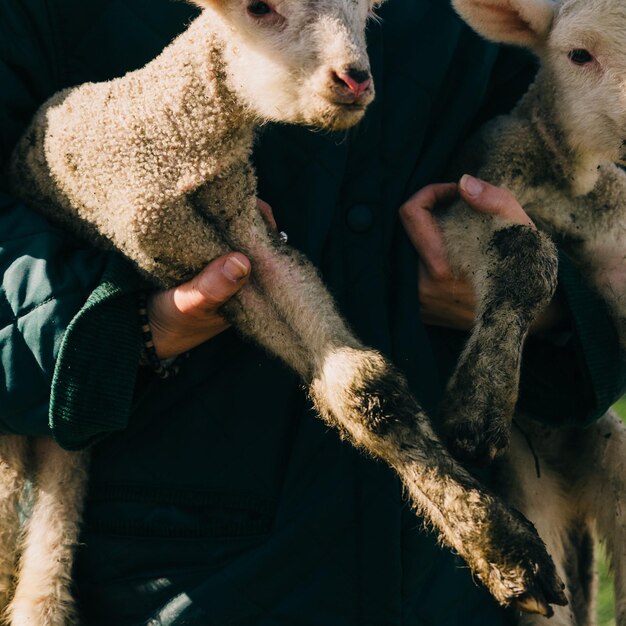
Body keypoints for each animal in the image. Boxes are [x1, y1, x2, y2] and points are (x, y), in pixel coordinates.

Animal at [2, 0, 564, 620]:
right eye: (260, 9)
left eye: (368, 15)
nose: (355, 78)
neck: (170, 136)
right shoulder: (167, 240)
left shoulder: (248, 225)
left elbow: (363, 389)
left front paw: (503, 549)